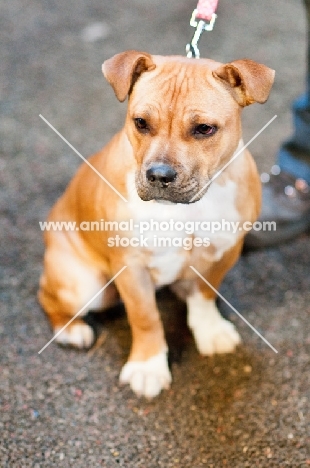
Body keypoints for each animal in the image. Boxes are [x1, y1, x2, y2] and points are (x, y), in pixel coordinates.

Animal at [38, 50, 274, 398]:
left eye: (205, 128)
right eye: (140, 123)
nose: (159, 175)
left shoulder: (224, 250)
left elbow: (205, 292)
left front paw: (209, 330)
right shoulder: (131, 265)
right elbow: (145, 316)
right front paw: (148, 366)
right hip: (82, 284)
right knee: (46, 294)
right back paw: (72, 330)